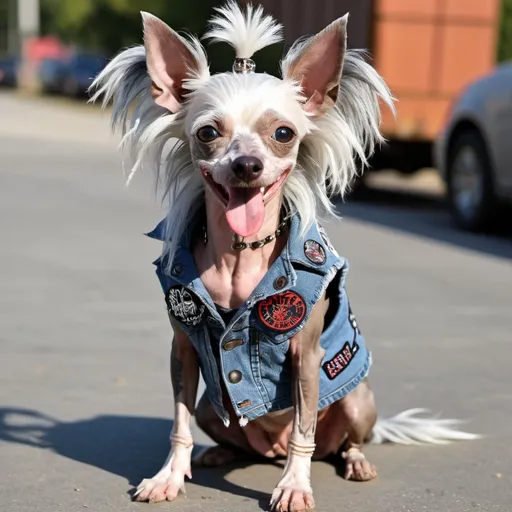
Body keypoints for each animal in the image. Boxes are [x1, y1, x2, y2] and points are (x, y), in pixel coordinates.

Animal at [90, 2, 478, 510]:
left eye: (283, 132)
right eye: (208, 132)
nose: (247, 165)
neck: (241, 253)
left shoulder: (306, 356)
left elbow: (302, 431)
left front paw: (294, 485)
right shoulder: (185, 350)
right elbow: (178, 424)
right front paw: (169, 476)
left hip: (357, 398)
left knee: (341, 441)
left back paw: (354, 461)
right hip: (211, 406)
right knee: (228, 432)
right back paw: (219, 453)